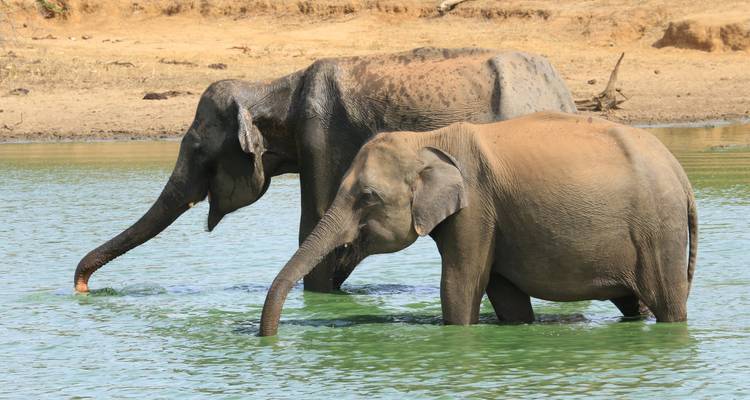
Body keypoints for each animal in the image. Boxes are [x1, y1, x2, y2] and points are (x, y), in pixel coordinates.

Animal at [74, 47, 576, 294]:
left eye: (196, 148)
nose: (81, 287)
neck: (275, 86)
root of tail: (562, 92)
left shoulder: (320, 137)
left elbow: (314, 224)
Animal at [259, 112, 698, 336]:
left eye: (367, 196)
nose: (270, 337)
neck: (429, 140)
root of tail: (680, 173)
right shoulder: (494, 219)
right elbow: (504, 294)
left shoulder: (477, 208)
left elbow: (460, 285)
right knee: (634, 302)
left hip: (659, 230)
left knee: (666, 301)